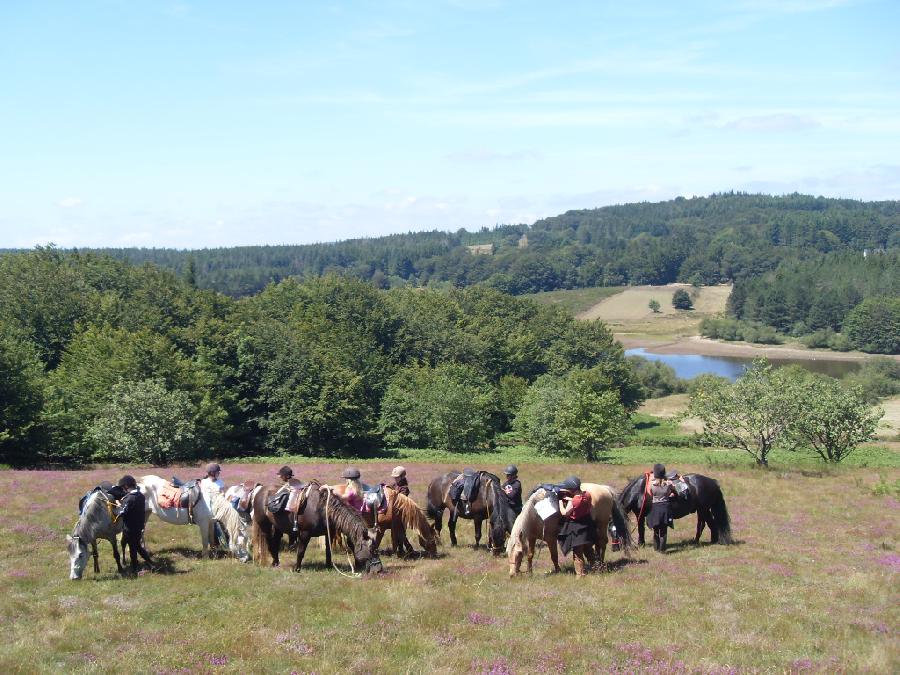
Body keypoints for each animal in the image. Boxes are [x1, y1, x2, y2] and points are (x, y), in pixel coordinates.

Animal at [250, 480, 384, 576]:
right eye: (372, 550)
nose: (379, 570)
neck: (323, 508)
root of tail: (260, 490)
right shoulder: (304, 533)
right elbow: (301, 551)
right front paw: (297, 569)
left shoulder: (328, 532)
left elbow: (328, 551)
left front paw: (329, 566)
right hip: (265, 525)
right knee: (270, 543)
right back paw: (274, 563)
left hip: (278, 527)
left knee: (276, 542)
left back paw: (277, 562)